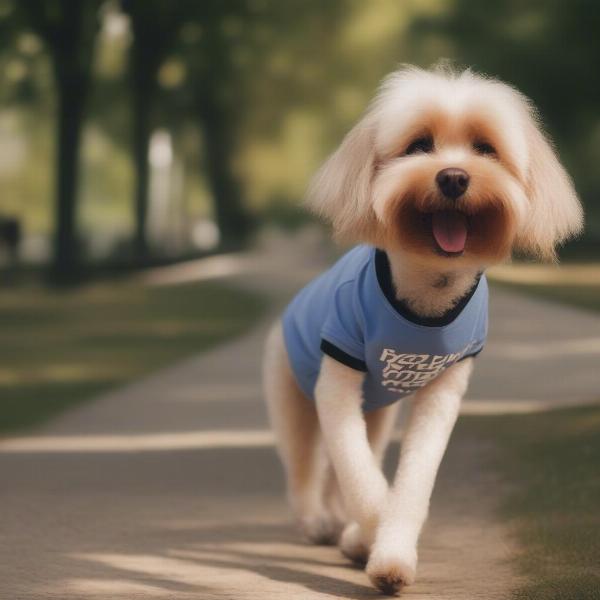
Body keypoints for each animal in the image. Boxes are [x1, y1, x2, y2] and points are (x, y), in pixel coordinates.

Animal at [262, 63, 580, 592]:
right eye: (418, 145)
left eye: (485, 148)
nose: (453, 177)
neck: (428, 290)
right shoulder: (336, 382)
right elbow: (362, 478)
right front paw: (371, 537)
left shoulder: (444, 391)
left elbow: (411, 481)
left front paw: (386, 551)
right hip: (291, 391)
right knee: (306, 466)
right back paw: (319, 522)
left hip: (377, 412)